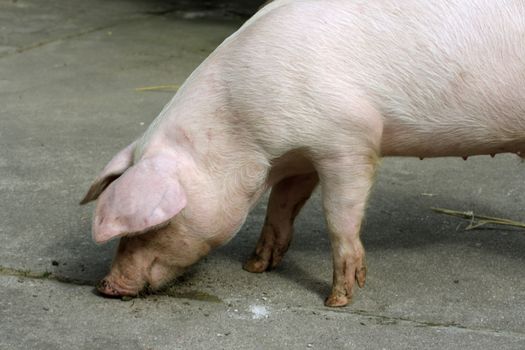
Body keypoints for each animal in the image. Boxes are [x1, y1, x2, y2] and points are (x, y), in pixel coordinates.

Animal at [80, 0, 524, 306]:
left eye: (148, 228)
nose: (106, 287)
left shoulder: (349, 139)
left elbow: (339, 218)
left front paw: (338, 300)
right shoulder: (299, 157)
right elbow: (280, 208)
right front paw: (256, 266)